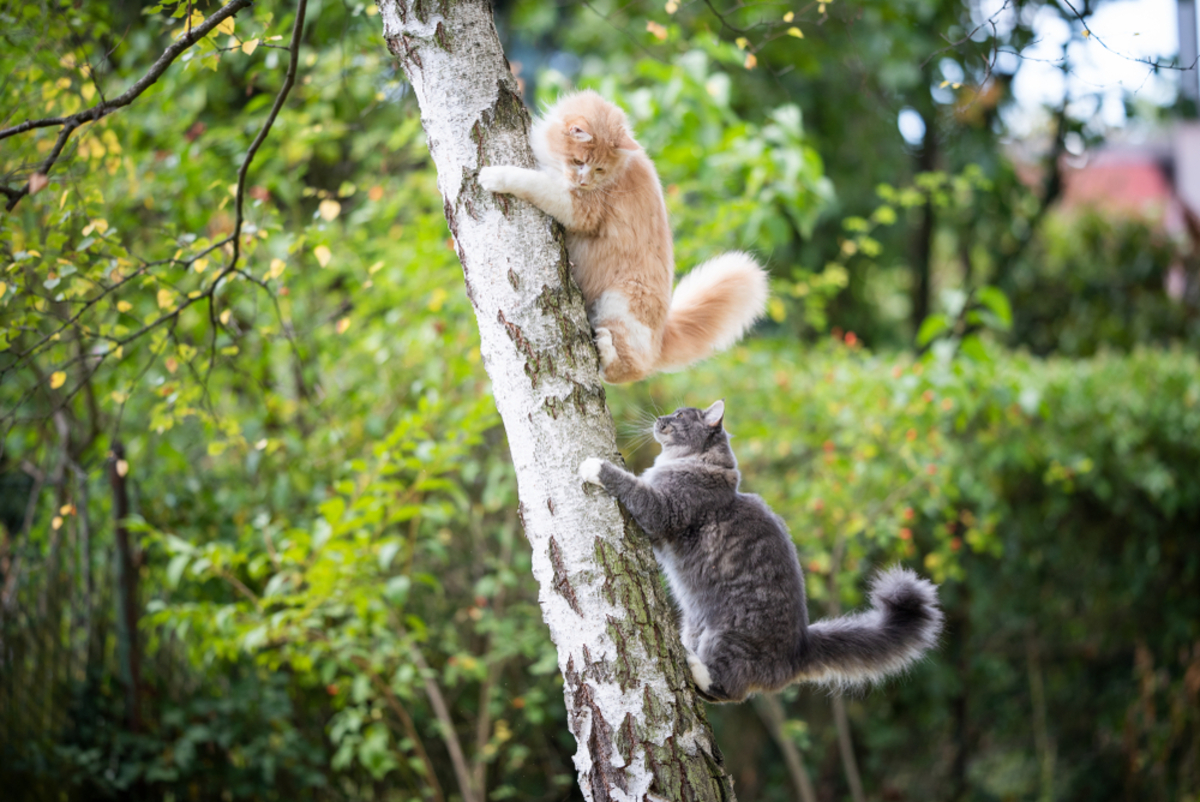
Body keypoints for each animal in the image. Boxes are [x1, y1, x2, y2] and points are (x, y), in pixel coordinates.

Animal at [477, 89, 768, 384]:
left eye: (599, 170)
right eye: (579, 161)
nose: (583, 182)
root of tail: (663, 335)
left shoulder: (581, 208)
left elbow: (533, 182)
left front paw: (495, 175)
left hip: (619, 301)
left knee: (629, 369)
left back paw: (606, 349)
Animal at [576, 401, 940, 701]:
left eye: (679, 416)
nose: (659, 419)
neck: (698, 463)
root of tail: (800, 648)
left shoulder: (663, 509)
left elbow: (629, 483)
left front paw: (594, 466)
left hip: (726, 635)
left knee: (726, 690)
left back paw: (694, 666)